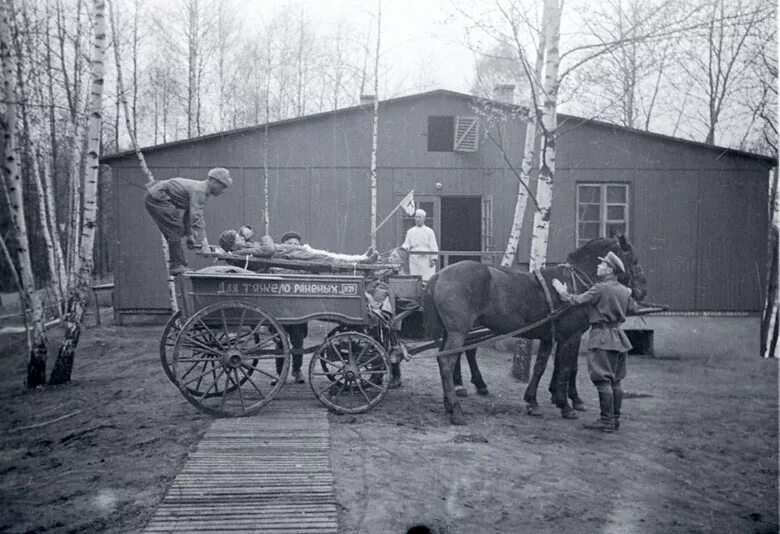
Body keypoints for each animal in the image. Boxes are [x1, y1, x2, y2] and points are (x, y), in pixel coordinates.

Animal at [424, 237, 648, 426]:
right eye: (634, 260)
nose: (641, 292)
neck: (574, 282)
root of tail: (440, 274)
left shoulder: (550, 337)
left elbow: (541, 366)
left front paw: (534, 401)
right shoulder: (571, 336)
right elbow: (567, 368)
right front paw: (566, 405)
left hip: (452, 332)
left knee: (448, 357)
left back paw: (453, 400)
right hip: (459, 332)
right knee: (447, 360)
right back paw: (456, 409)